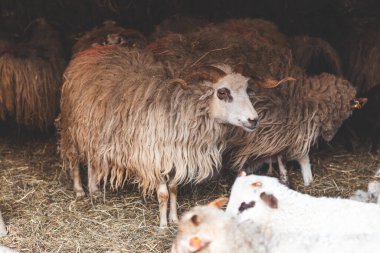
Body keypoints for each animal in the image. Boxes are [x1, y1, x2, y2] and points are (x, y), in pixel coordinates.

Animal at [58, 45, 262, 227]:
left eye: (247, 91)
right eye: (222, 92)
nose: (253, 120)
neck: (181, 113)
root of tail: (89, 52)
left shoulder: (175, 157)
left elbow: (174, 189)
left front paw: (174, 219)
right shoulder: (153, 158)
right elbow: (163, 194)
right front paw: (163, 225)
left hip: (93, 133)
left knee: (92, 161)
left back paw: (94, 190)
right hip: (72, 128)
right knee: (74, 158)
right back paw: (79, 190)